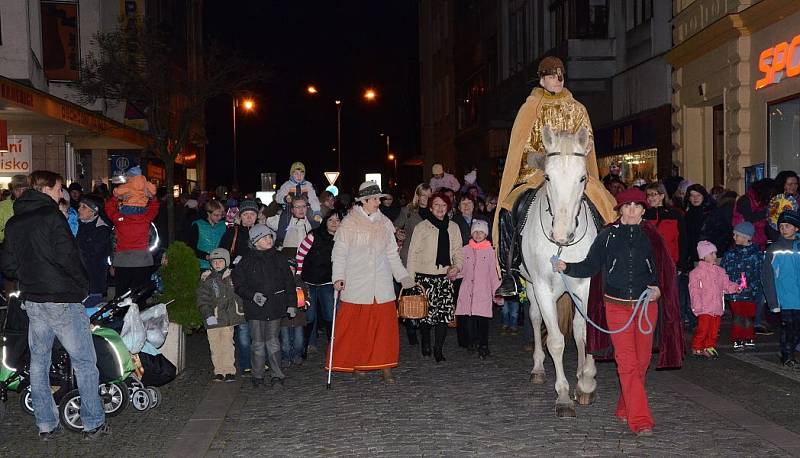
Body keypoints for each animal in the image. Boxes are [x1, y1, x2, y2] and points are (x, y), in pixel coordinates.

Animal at [520, 125, 596, 418]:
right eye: (548, 176)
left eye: (583, 177)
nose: (562, 235)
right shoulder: (542, 287)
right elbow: (555, 341)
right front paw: (563, 395)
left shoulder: (584, 285)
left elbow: (582, 332)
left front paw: (585, 382)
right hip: (531, 286)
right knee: (535, 318)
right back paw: (539, 368)